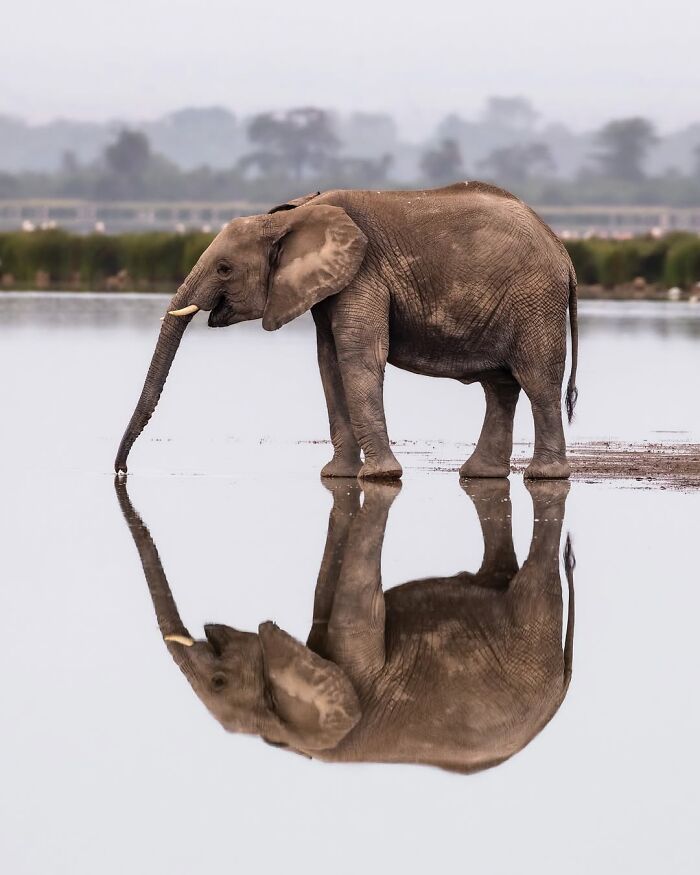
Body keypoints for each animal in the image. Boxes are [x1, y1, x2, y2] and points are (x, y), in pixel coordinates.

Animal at [114, 183, 578, 481]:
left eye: (225, 268)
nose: (121, 472)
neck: (292, 216)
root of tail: (563, 251)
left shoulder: (363, 273)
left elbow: (358, 356)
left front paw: (380, 477)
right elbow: (329, 361)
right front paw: (337, 476)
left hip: (535, 300)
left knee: (537, 380)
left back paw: (544, 477)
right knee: (500, 386)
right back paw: (481, 476)